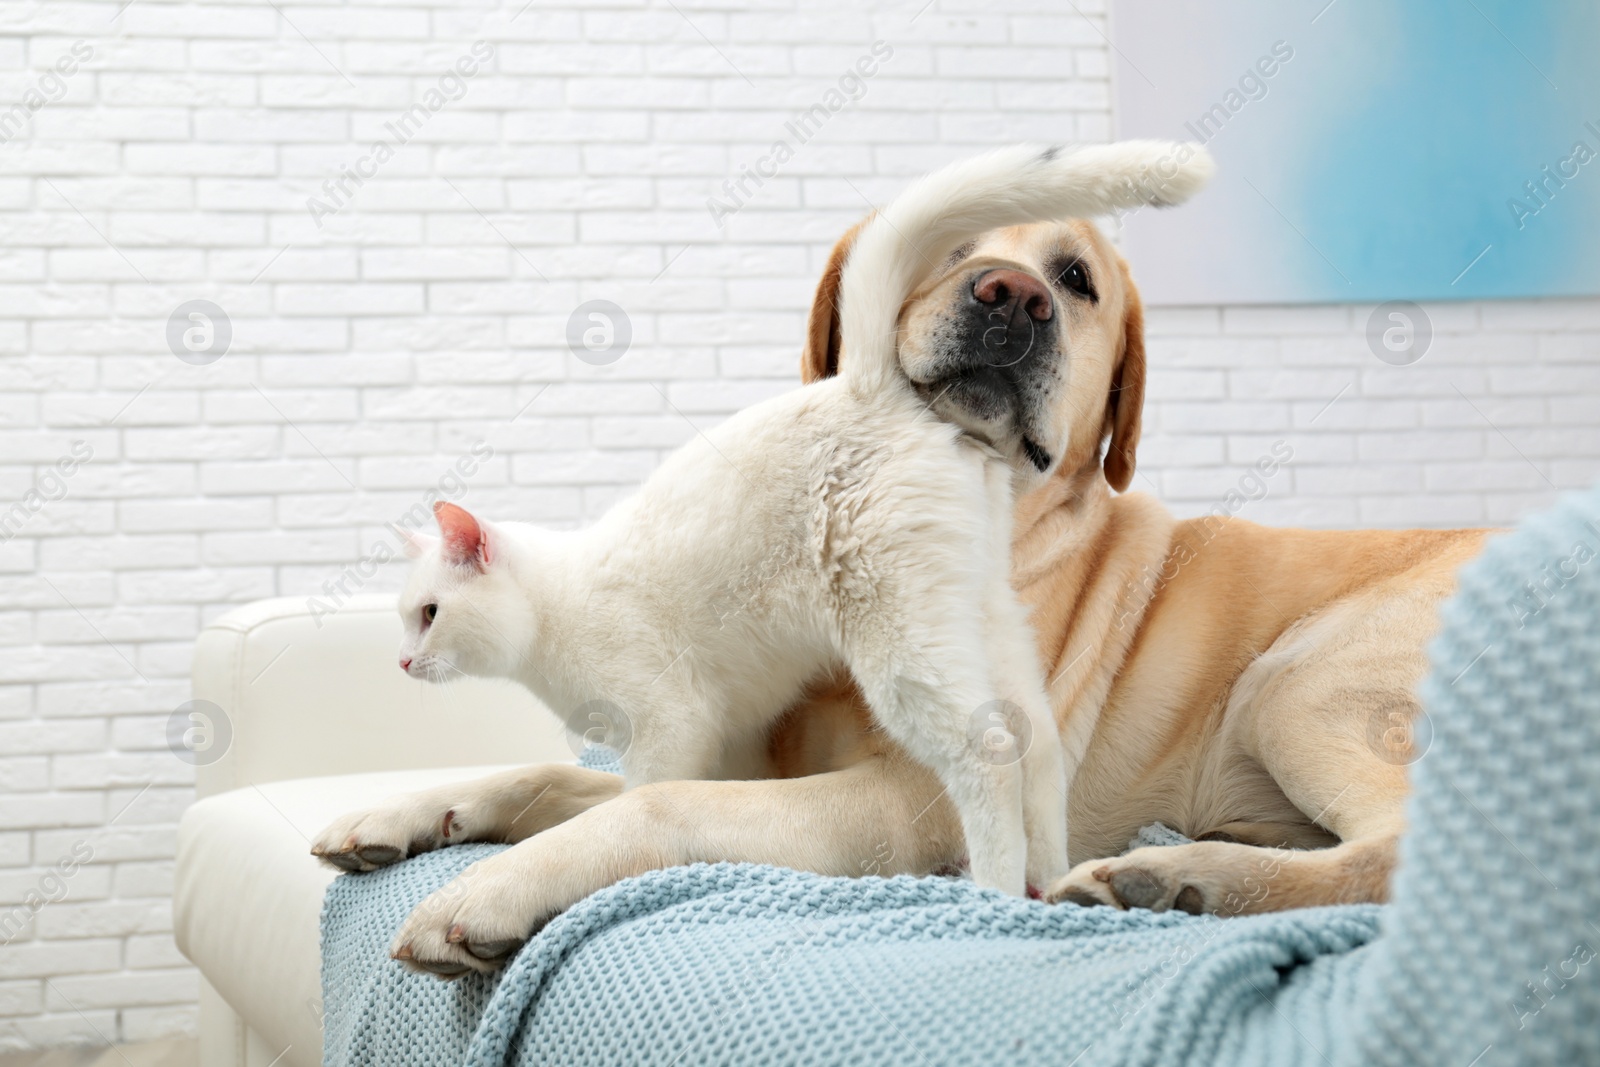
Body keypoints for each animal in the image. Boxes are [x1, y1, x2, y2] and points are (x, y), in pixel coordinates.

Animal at [315, 211, 1484, 966]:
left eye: (1077, 279)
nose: (1012, 295)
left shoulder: (897, 801)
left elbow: (654, 800)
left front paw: (494, 885)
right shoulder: (732, 746)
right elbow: (548, 775)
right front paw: (408, 812)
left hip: (1296, 682)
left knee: (1401, 855)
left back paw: (1177, 880)